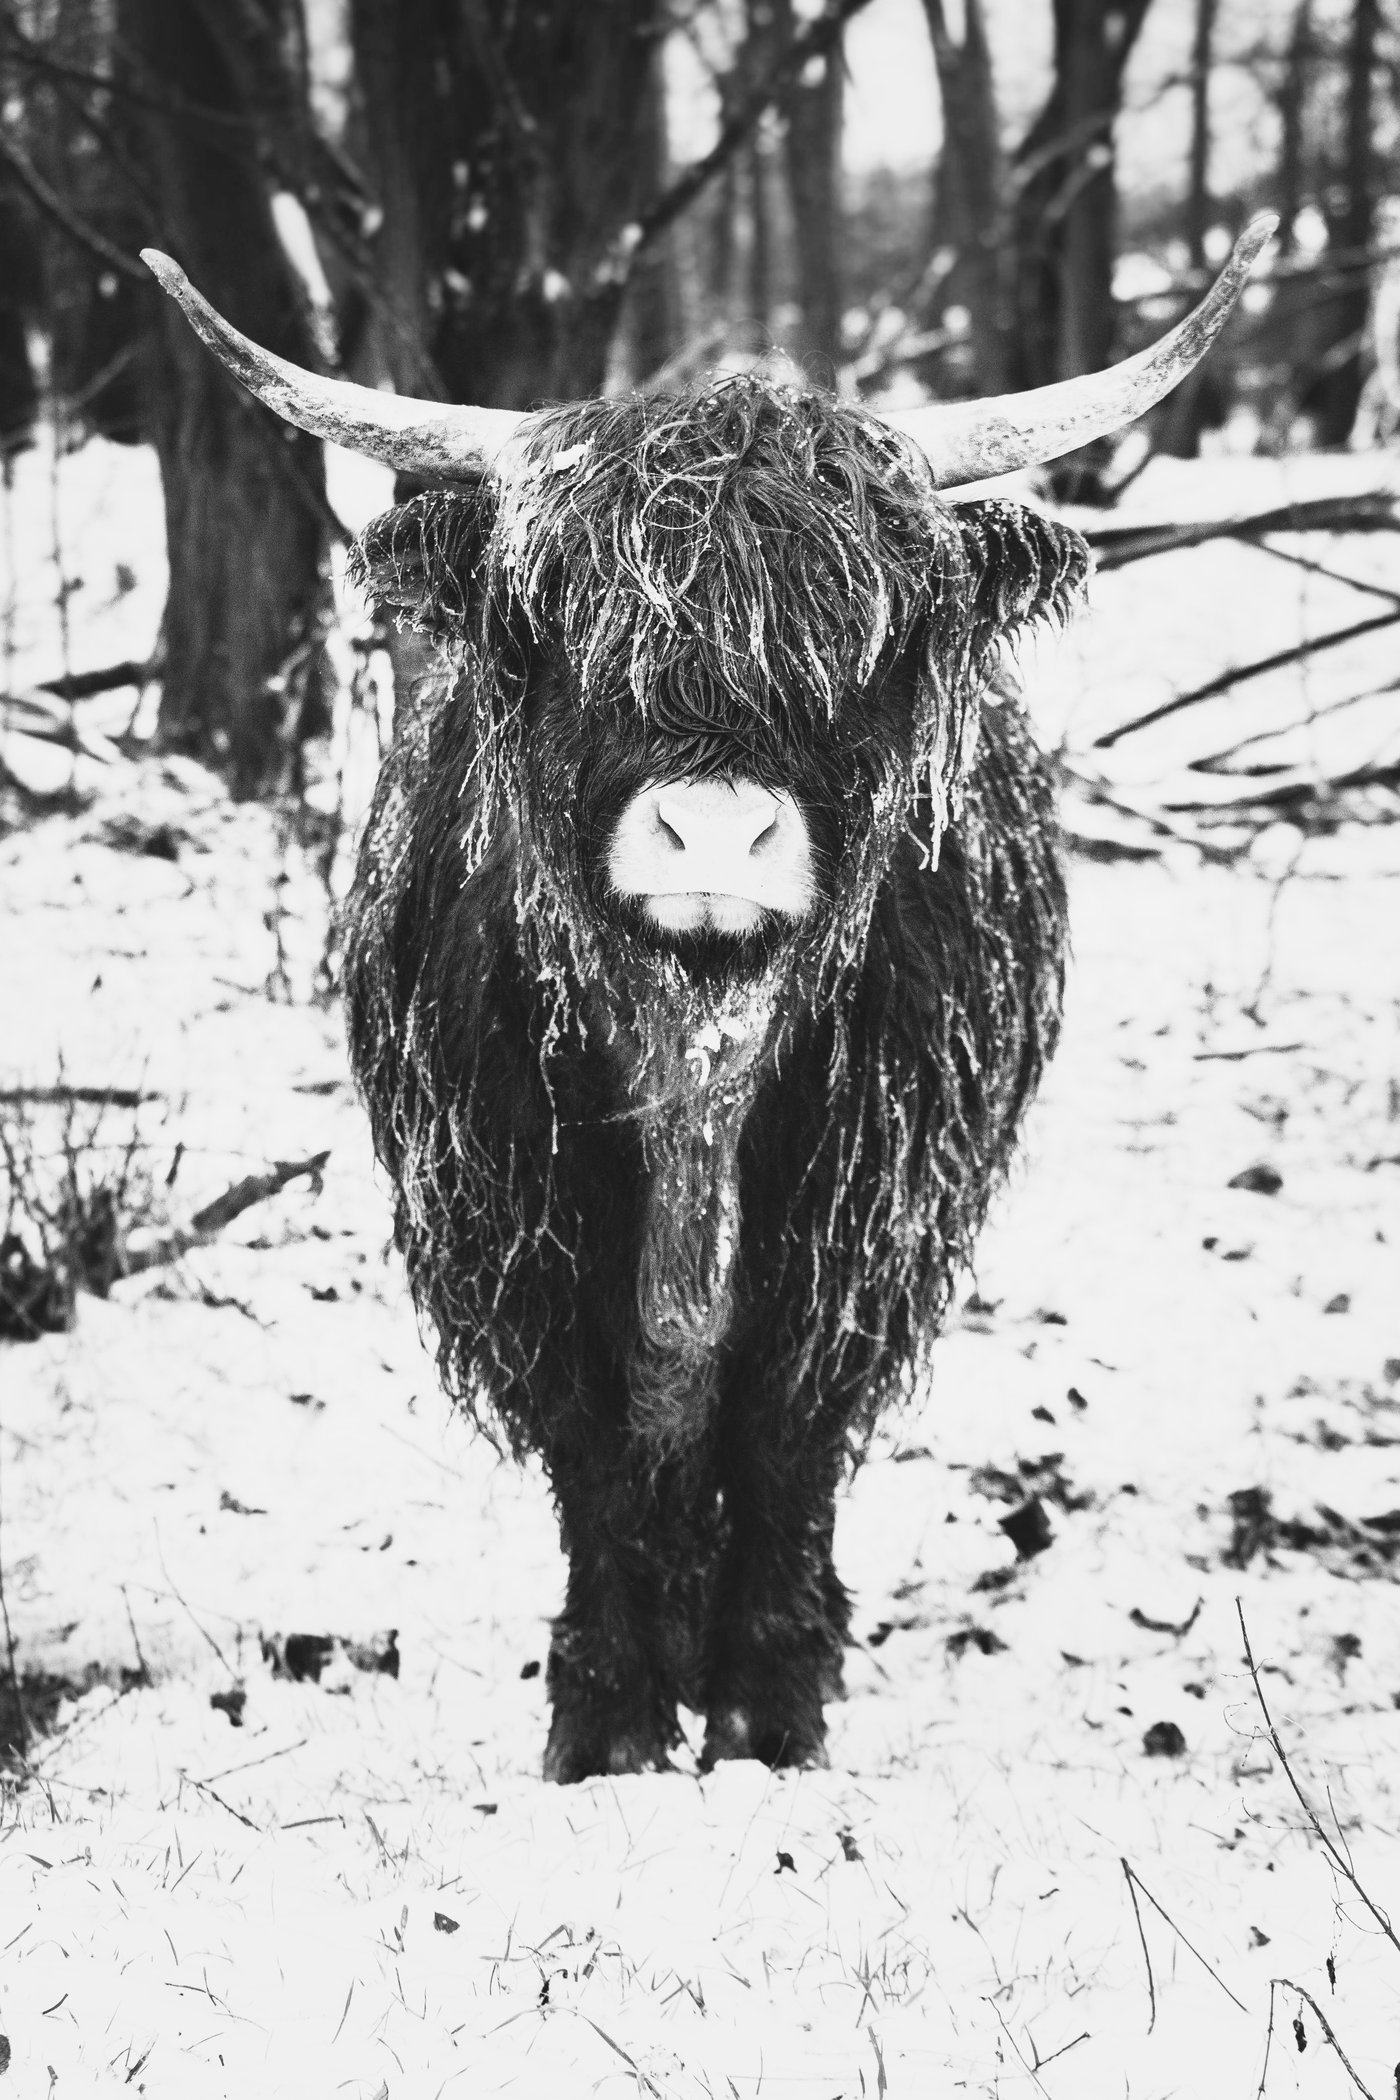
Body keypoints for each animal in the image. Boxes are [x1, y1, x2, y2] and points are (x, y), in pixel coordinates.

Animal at [145, 217, 1274, 1782]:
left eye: (875, 639)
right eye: (546, 626)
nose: (715, 835)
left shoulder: (863, 1233)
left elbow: (785, 1439)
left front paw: (769, 1717)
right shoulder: (514, 1237)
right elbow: (597, 1460)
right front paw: (606, 1724)